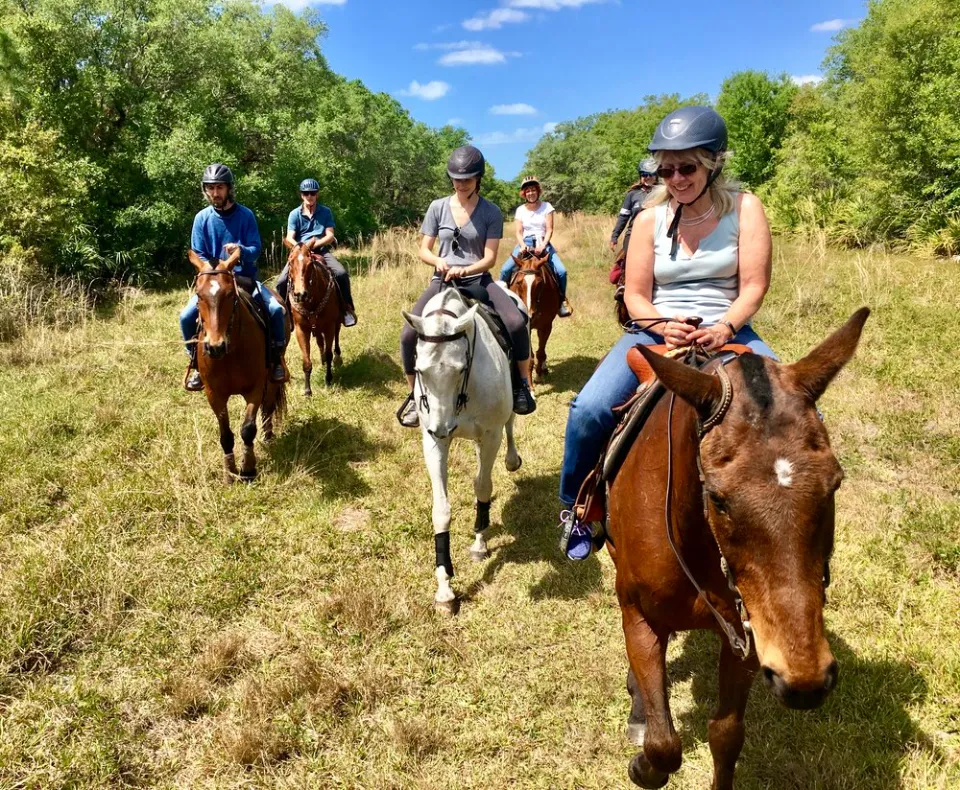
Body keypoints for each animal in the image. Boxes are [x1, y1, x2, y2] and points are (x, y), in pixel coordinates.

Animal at [188, 249, 288, 482]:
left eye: (230, 295)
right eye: (199, 295)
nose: (215, 346)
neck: (229, 353)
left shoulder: (255, 387)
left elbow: (248, 429)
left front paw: (248, 469)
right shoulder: (214, 394)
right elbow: (225, 434)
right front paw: (229, 471)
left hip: (271, 378)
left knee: (269, 404)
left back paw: (268, 436)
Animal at [286, 244, 344, 396]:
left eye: (310, 264)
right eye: (290, 262)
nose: (300, 294)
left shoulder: (329, 326)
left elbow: (329, 353)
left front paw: (328, 379)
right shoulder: (301, 329)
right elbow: (306, 360)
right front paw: (307, 390)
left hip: (336, 323)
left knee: (336, 336)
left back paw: (337, 357)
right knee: (320, 342)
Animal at [400, 288, 520, 616]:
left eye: (462, 369)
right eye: (418, 369)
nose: (443, 428)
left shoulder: (491, 435)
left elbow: (482, 487)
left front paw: (479, 543)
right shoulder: (433, 442)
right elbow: (441, 510)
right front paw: (445, 589)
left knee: (511, 424)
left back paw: (512, 459)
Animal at [506, 249, 560, 382]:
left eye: (540, 283)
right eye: (519, 283)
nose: (530, 314)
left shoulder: (546, 326)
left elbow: (540, 352)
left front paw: (539, 375)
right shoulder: (526, 327)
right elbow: (529, 358)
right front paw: (530, 384)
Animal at [608, 306, 872, 788]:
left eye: (835, 484)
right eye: (717, 498)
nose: (805, 681)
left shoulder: (752, 636)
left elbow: (726, 733)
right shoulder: (637, 611)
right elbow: (664, 743)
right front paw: (642, 762)